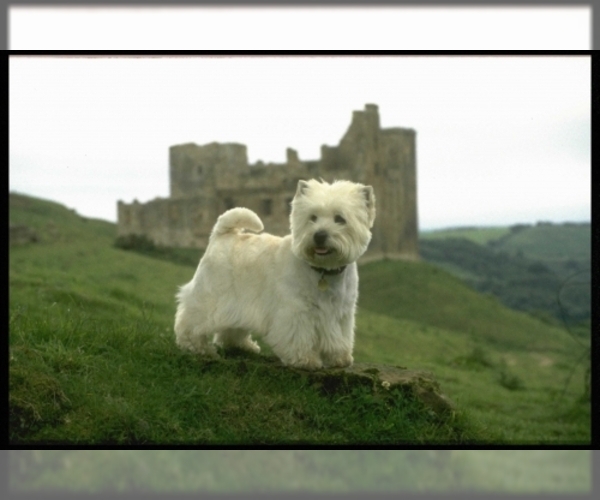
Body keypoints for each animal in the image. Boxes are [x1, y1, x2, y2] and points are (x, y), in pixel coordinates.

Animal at [171, 180, 376, 372]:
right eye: (312, 217)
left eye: (340, 219)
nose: (319, 236)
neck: (323, 270)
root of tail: (221, 235)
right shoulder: (296, 310)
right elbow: (298, 337)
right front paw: (305, 360)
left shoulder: (341, 313)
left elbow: (339, 337)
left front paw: (339, 357)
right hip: (211, 296)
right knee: (190, 322)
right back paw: (198, 348)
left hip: (236, 304)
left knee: (231, 329)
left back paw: (243, 346)